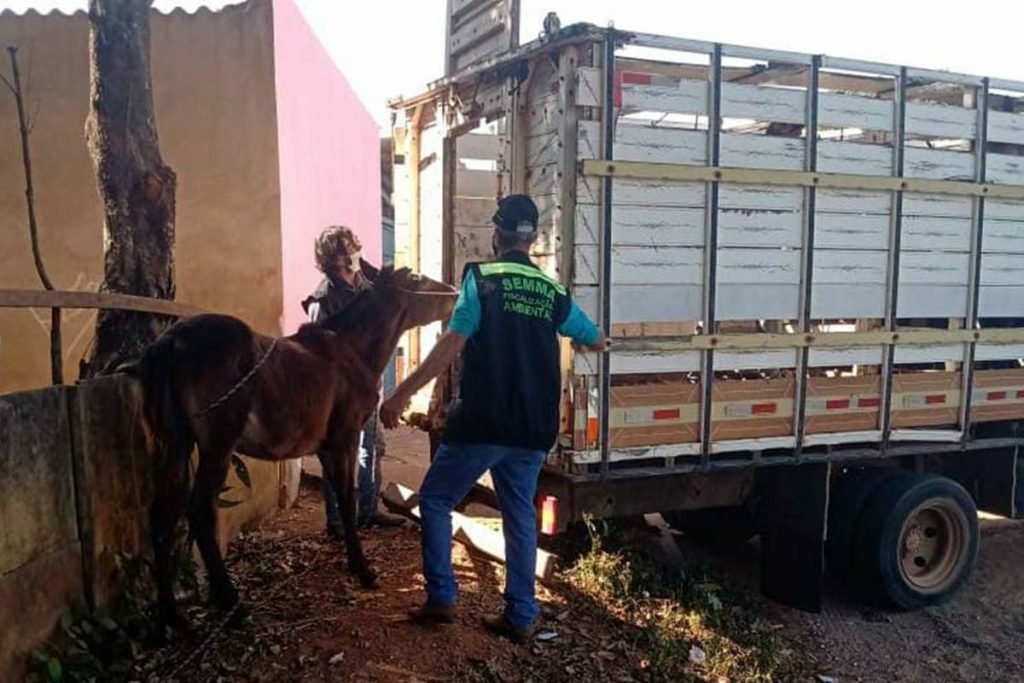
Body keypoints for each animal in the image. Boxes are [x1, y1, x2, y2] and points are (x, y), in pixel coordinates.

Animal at [131, 264, 456, 626]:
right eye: (414, 278)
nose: (454, 295)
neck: (352, 350)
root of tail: (170, 342)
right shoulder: (344, 438)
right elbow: (347, 498)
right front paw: (363, 569)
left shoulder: (326, 448)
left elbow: (339, 497)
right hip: (218, 445)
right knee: (199, 509)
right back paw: (231, 601)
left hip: (176, 444)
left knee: (161, 516)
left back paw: (170, 614)